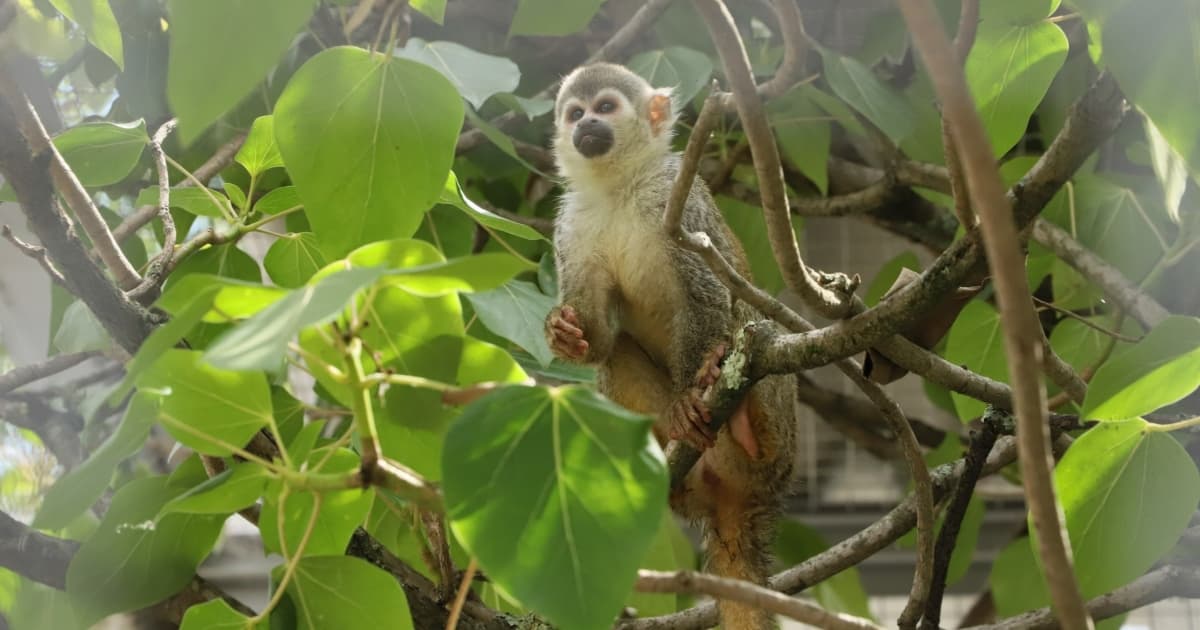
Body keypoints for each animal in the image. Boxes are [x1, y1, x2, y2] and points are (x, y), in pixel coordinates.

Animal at [543, 63, 797, 630]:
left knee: (748, 320)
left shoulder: (677, 200)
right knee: (618, 355)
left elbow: (706, 292)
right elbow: (600, 341)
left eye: (606, 108)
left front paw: (687, 393)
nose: (586, 126)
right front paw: (564, 333)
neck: (619, 186)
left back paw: (743, 419)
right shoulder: (570, 226)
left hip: (780, 448)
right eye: (575, 113)